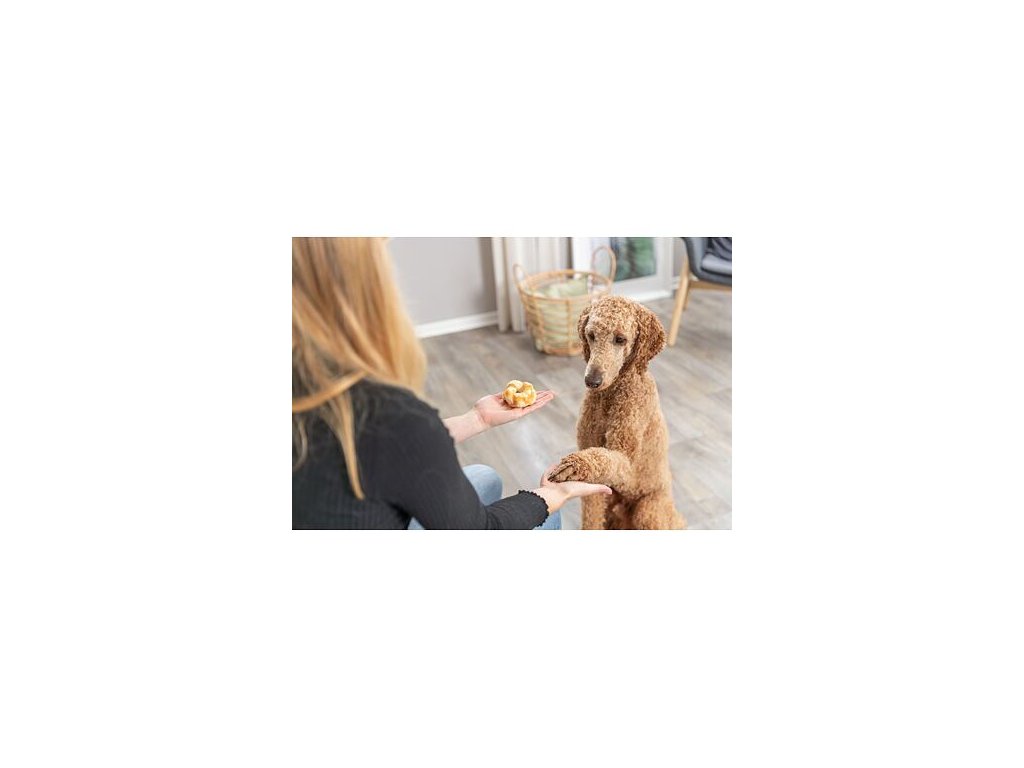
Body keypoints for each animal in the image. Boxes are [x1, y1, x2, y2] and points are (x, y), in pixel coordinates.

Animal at [548, 295, 684, 529]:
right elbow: (591, 517)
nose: (591, 381)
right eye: (591, 335)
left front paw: (574, 465)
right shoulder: (595, 483)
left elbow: (602, 458)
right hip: (612, 503)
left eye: (620, 339)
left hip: (647, 510)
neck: (611, 394)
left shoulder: (625, 460)